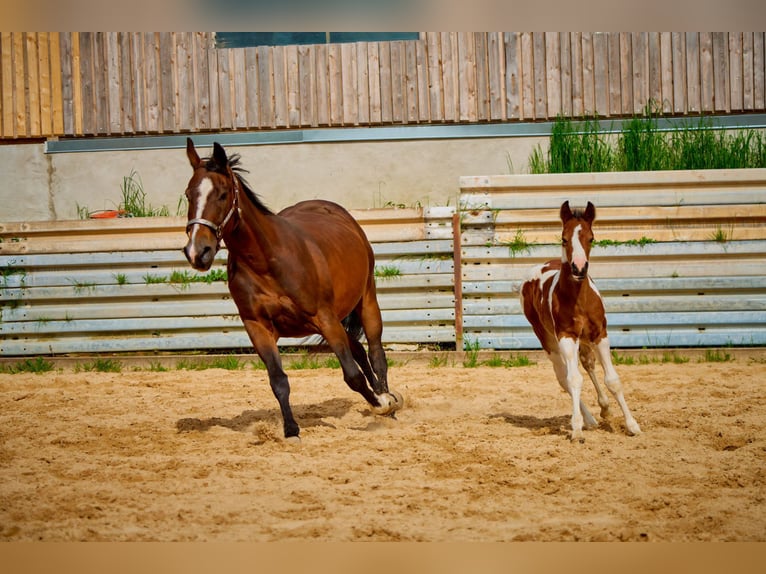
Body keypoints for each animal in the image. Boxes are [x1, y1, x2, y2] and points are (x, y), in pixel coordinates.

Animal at [184, 137, 404, 444]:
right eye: (188, 195)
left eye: (223, 194)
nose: (197, 252)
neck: (267, 261)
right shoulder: (258, 327)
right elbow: (278, 380)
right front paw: (291, 431)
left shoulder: (324, 317)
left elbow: (352, 375)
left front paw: (383, 404)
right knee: (360, 350)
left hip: (366, 300)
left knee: (375, 353)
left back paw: (387, 402)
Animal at [520, 200, 640, 444]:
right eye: (564, 238)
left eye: (591, 238)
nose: (579, 267)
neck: (578, 299)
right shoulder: (566, 336)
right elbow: (574, 379)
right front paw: (576, 429)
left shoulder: (600, 334)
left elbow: (612, 380)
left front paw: (632, 425)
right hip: (549, 340)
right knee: (564, 377)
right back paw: (589, 420)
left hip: (584, 340)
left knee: (588, 363)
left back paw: (602, 411)